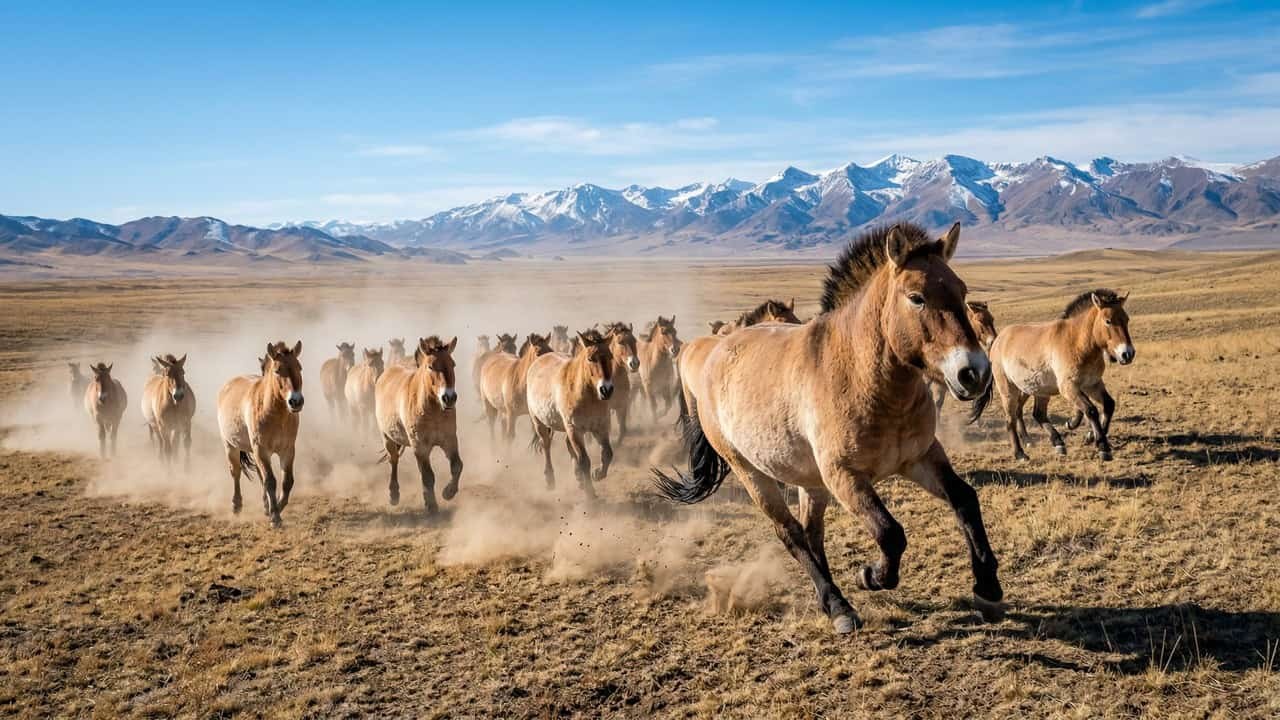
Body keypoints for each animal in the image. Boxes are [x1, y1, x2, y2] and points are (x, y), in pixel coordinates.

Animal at [216, 341, 305, 527]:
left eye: (299, 368)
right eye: (277, 370)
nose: (296, 401)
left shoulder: (287, 450)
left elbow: (287, 482)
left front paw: (275, 508)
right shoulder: (262, 450)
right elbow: (270, 481)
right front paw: (275, 516)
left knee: (259, 475)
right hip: (230, 446)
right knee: (236, 473)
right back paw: (236, 505)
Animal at [374, 337, 463, 512]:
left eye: (453, 364)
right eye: (430, 366)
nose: (449, 398)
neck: (433, 410)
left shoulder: (449, 440)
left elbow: (457, 466)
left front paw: (448, 492)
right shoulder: (420, 446)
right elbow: (428, 476)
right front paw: (432, 505)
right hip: (387, 438)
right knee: (393, 460)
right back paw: (394, 495)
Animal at [526, 329, 615, 498]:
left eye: (611, 357)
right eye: (590, 358)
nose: (606, 390)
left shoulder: (601, 427)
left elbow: (607, 454)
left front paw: (597, 474)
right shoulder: (575, 429)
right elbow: (584, 460)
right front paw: (590, 495)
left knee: (568, 446)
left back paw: (578, 478)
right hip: (539, 422)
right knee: (546, 445)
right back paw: (550, 479)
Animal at [654, 222, 1001, 635]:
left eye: (962, 292)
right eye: (916, 298)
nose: (974, 372)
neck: (862, 375)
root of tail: (711, 352)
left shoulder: (920, 457)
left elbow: (965, 500)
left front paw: (988, 587)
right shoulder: (844, 476)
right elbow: (890, 533)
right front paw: (871, 576)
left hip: (809, 479)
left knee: (812, 533)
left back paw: (831, 601)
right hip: (752, 473)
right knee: (791, 534)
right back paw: (838, 605)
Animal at [969, 289, 1134, 461]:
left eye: (1126, 319)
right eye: (1108, 321)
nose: (1127, 354)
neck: (1076, 342)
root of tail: (997, 340)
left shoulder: (1092, 384)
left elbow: (1109, 405)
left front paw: (1089, 436)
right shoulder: (1068, 387)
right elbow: (1091, 410)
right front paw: (1103, 447)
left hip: (1036, 389)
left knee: (1036, 414)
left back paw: (1056, 443)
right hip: (1008, 389)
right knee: (1011, 419)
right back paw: (1020, 453)